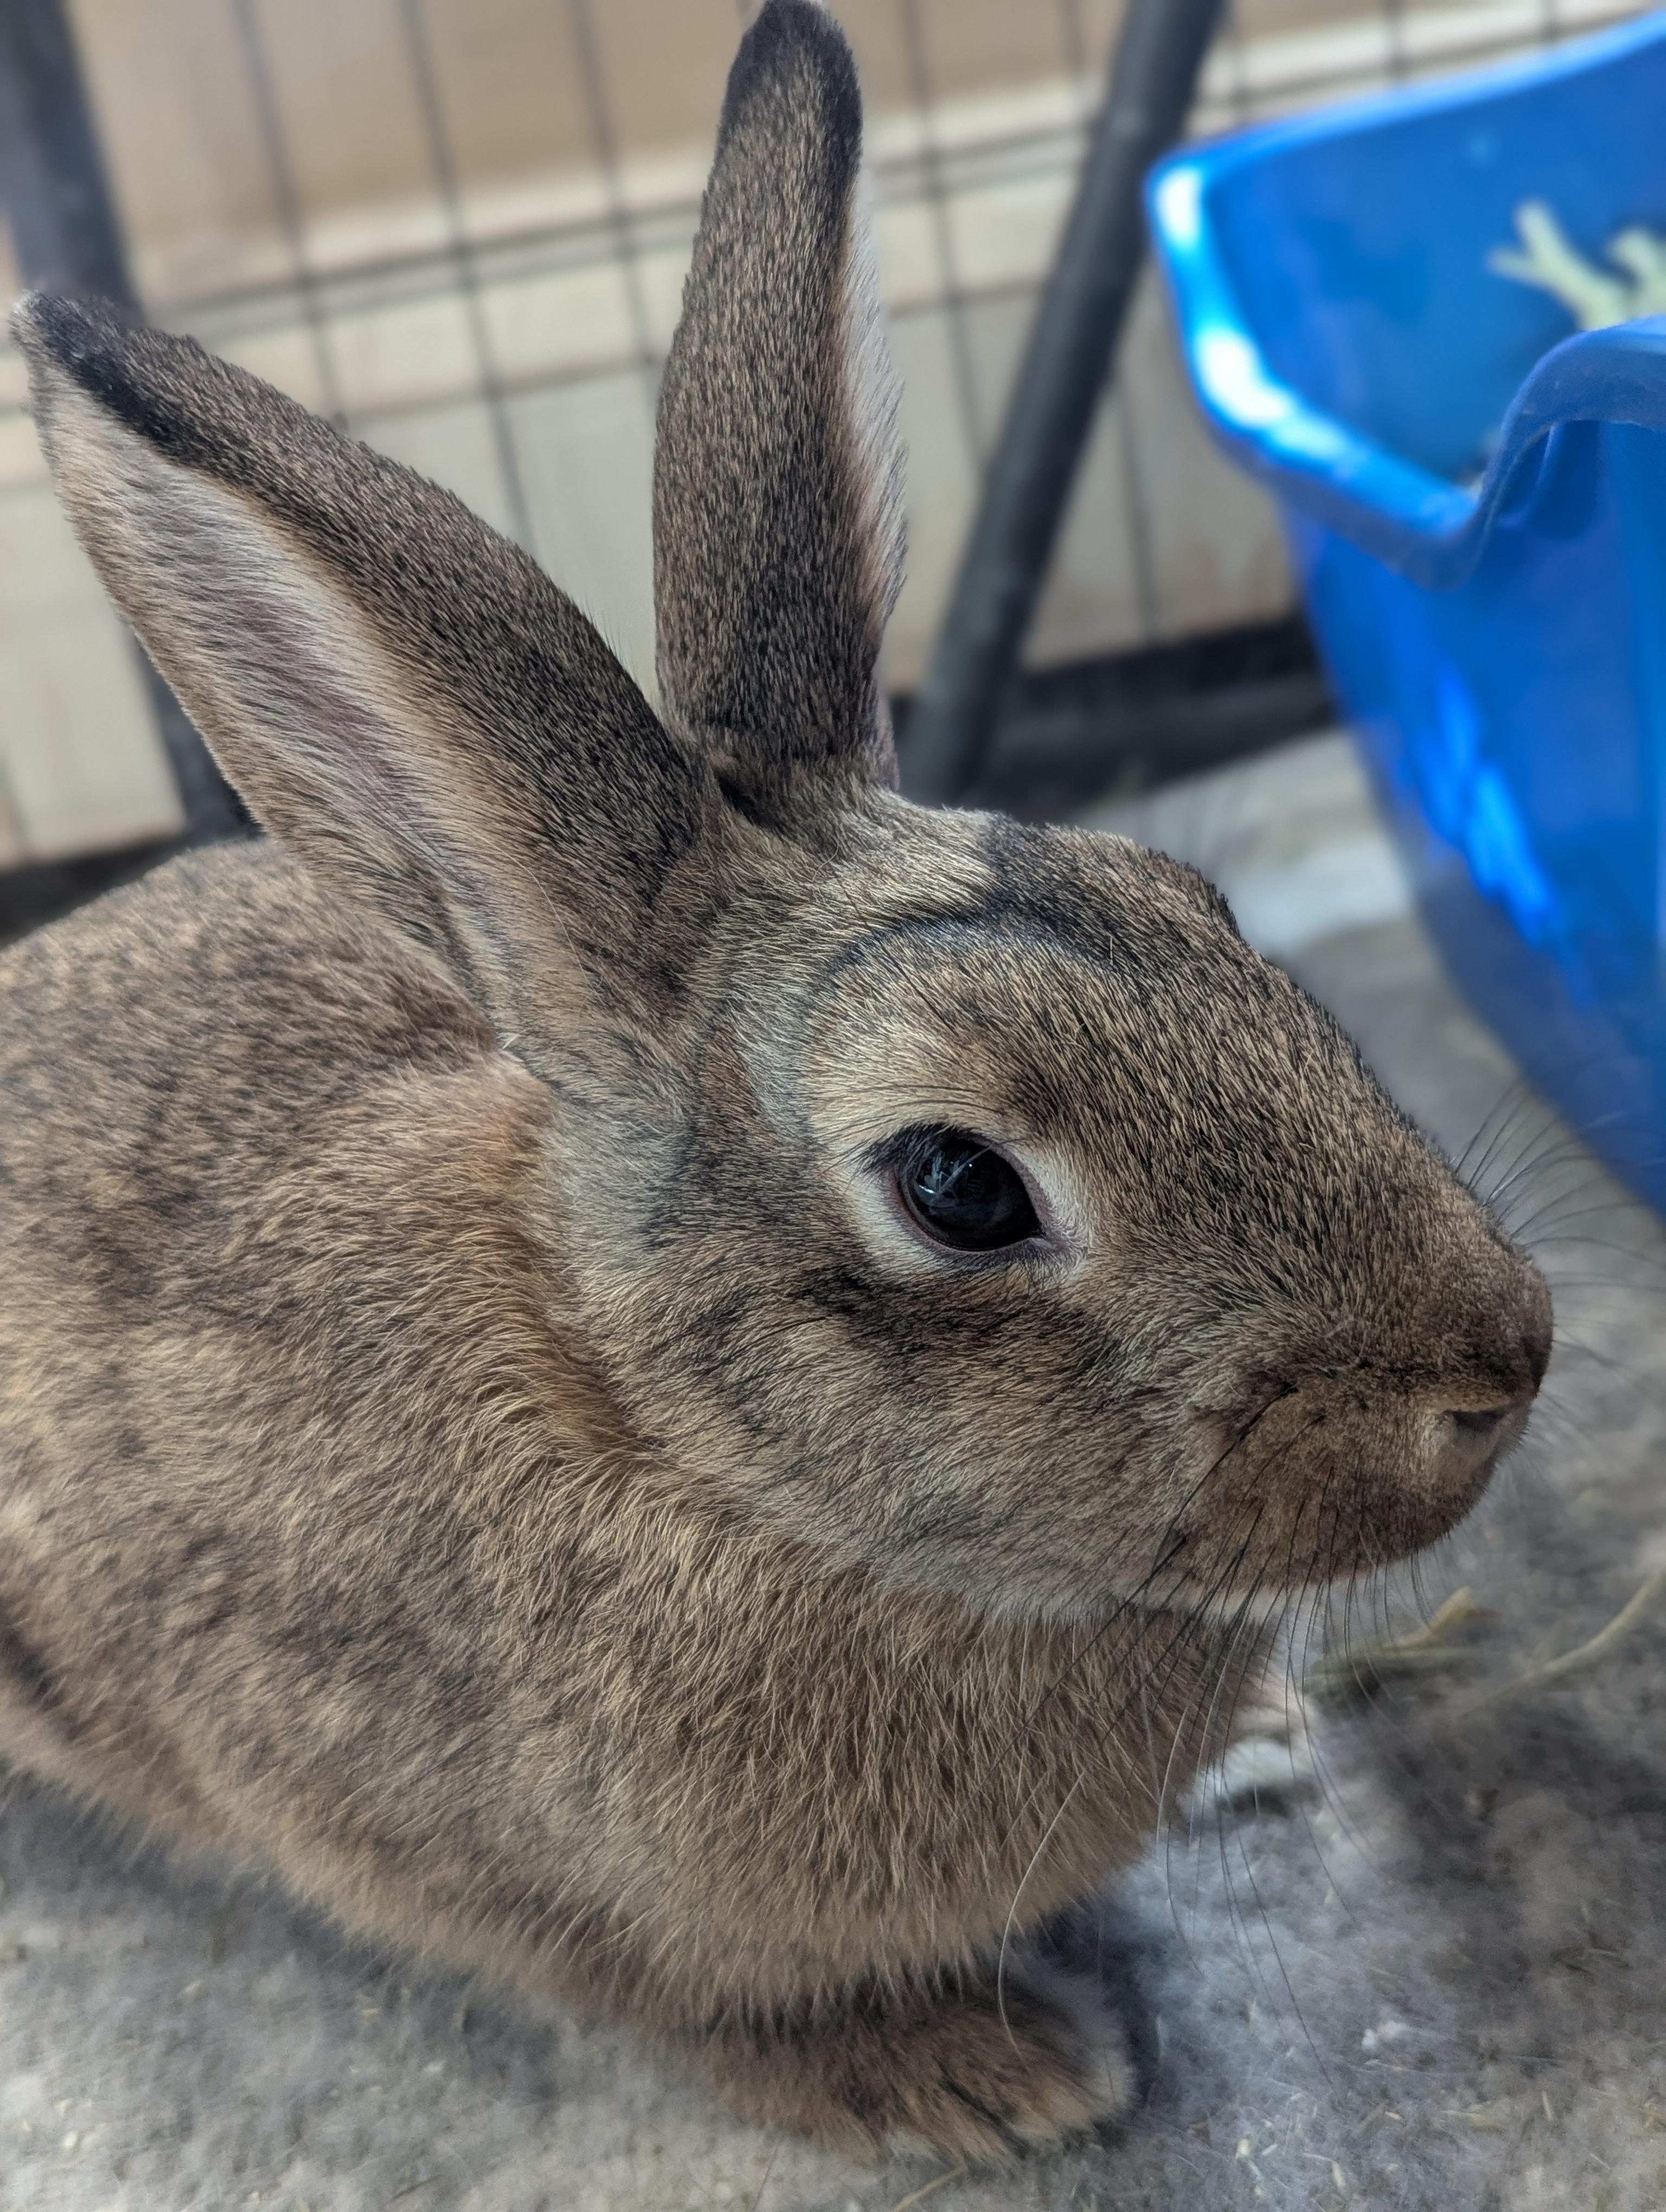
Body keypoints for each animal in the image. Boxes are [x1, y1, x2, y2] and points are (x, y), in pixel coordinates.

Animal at [0, 0, 1550, 2167]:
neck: (695, 1456)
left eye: (1193, 902)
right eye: (960, 1184)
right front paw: (979, 2069)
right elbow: (676, 2001)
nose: (1500, 1359)